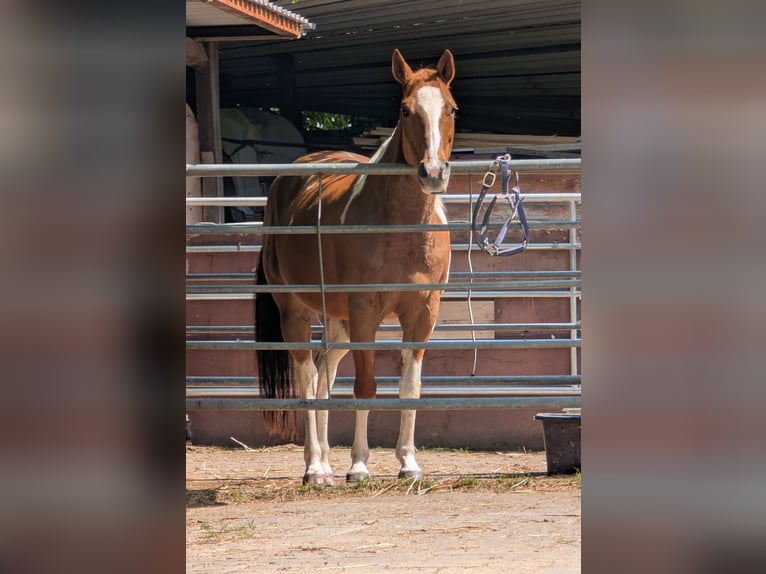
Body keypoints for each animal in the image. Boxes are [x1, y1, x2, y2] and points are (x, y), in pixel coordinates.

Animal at [255, 49, 457, 485]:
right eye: (405, 110)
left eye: (451, 108)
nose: (433, 173)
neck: (401, 227)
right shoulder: (366, 311)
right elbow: (366, 385)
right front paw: (360, 465)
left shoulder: (423, 313)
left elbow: (409, 388)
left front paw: (408, 463)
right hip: (295, 312)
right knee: (307, 380)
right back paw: (315, 468)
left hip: (338, 322)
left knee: (323, 378)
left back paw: (325, 463)